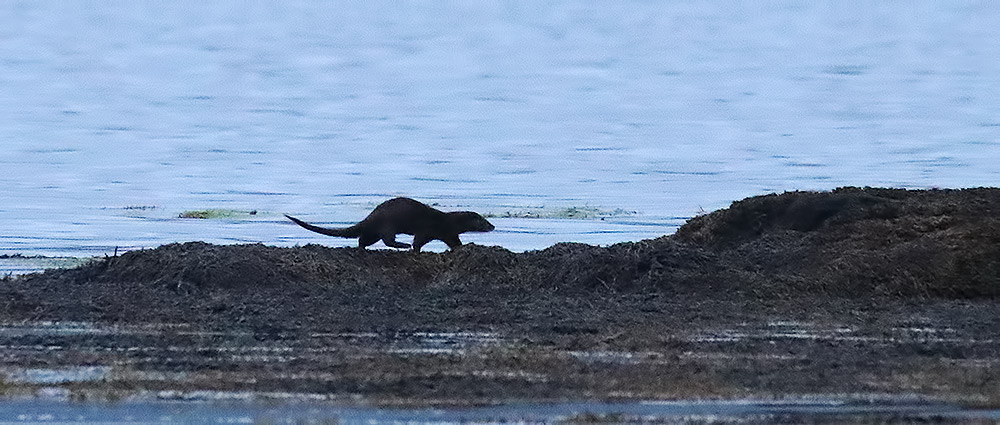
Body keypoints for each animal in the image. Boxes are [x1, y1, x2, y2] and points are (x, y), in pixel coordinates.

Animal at [285, 197, 495, 252]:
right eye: (484, 221)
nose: (493, 227)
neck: (447, 220)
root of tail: (371, 215)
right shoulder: (432, 229)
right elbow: (418, 241)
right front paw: (413, 248)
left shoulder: (447, 233)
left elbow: (454, 242)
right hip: (388, 224)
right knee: (387, 240)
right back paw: (402, 244)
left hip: (374, 231)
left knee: (364, 239)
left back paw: (362, 249)